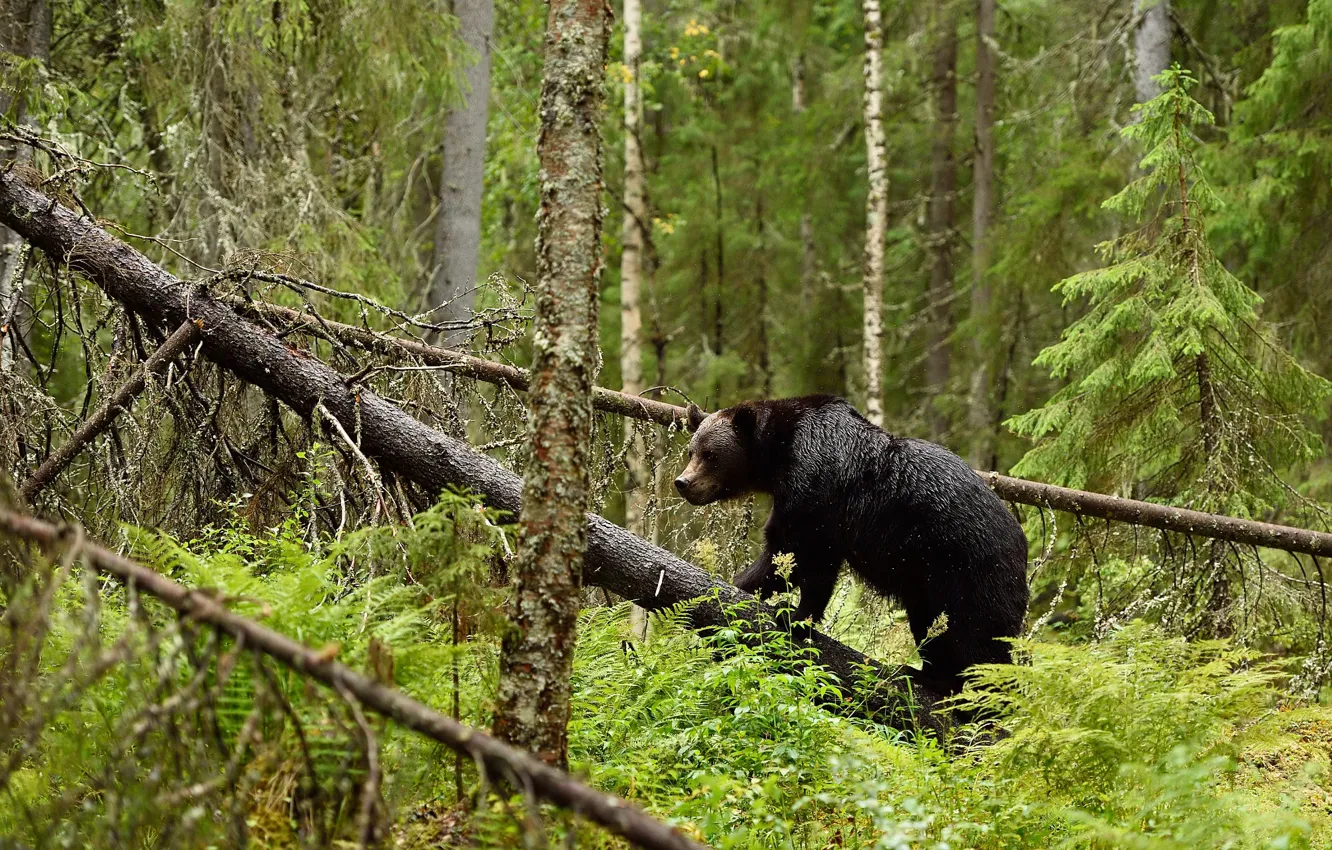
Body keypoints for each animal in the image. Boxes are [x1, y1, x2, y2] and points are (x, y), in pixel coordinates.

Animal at [673, 394, 1029, 695]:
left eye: (711, 455)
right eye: (691, 450)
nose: (683, 482)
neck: (779, 455)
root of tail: (1021, 543)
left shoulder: (816, 487)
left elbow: (808, 556)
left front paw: (795, 615)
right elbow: (782, 553)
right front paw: (739, 585)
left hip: (970, 570)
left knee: (980, 642)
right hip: (929, 585)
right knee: (932, 628)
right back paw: (925, 675)